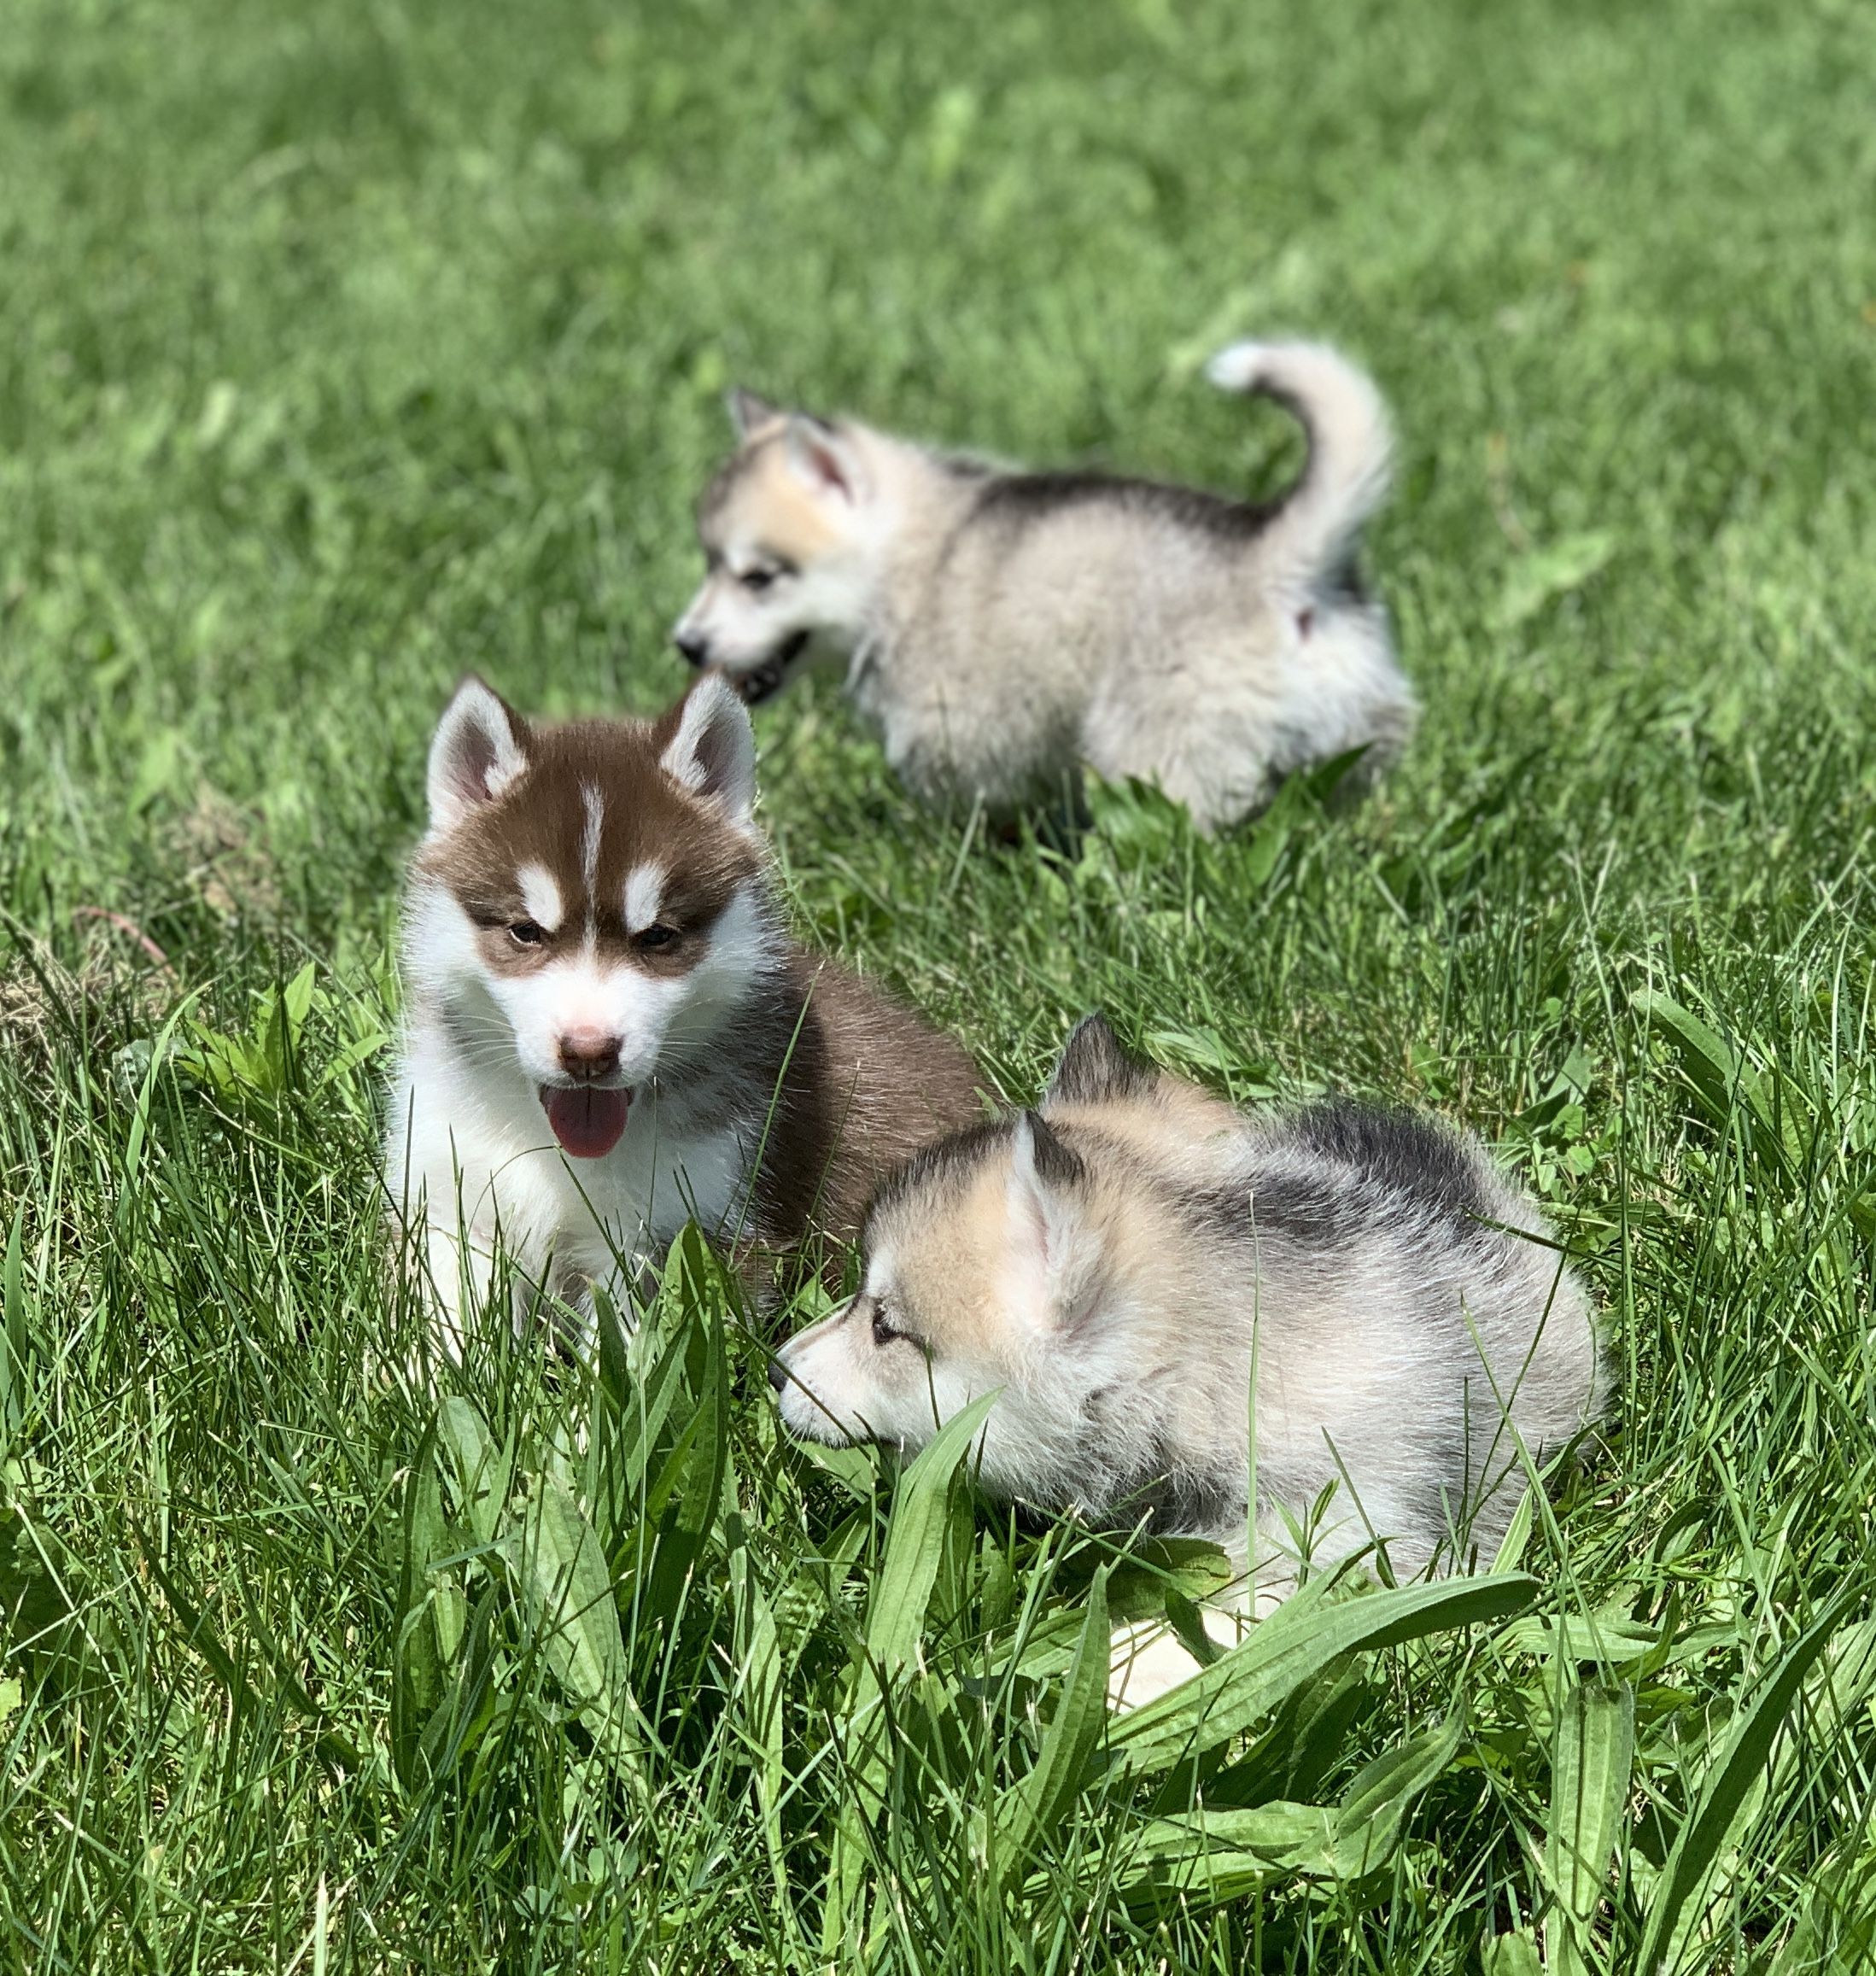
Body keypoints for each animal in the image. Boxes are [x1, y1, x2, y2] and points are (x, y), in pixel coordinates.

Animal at [668, 343, 1407, 829]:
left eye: (759, 577)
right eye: (707, 562)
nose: (685, 644)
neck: (908, 557)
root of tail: (1276, 558)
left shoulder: (953, 730)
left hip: (1161, 757)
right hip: (1355, 746)